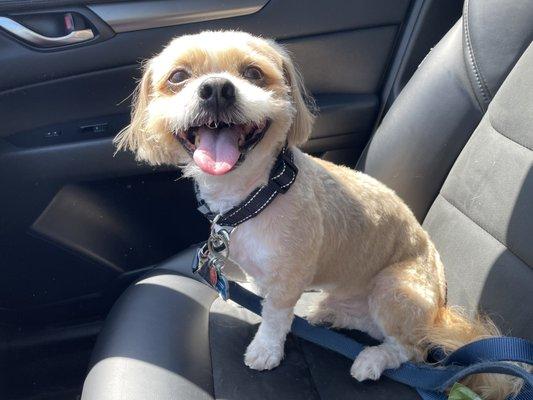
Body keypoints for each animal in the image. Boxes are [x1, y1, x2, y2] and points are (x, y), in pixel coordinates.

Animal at [115, 30, 520, 396]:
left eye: (254, 73)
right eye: (178, 77)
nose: (216, 89)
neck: (257, 194)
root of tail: (439, 312)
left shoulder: (289, 276)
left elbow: (276, 316)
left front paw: (265, 350)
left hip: (396, 287)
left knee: (411, 349)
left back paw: (372, 359)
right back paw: (327, 313)